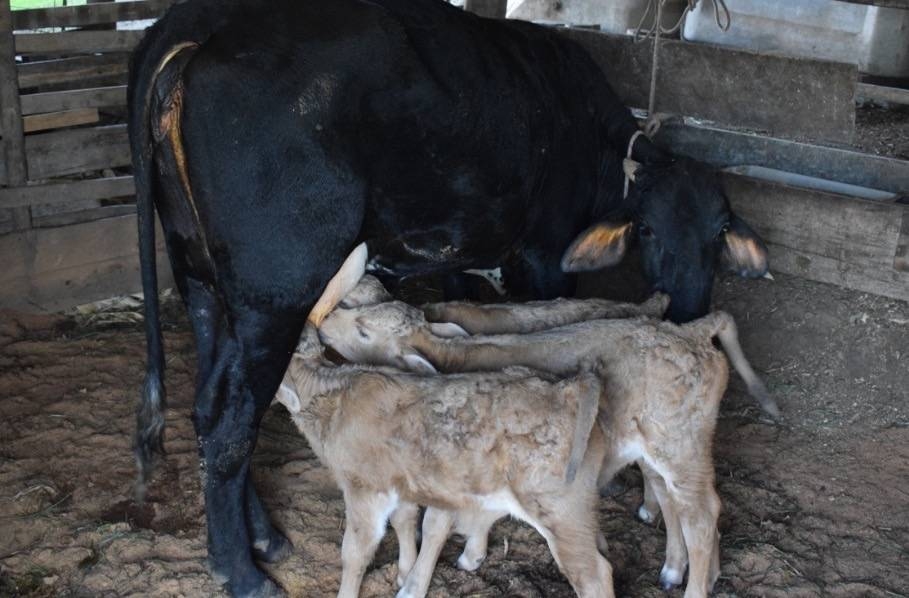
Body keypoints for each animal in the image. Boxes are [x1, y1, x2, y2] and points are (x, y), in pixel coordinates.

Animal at [127, 0, 768, 596]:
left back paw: (263, 537)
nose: (687, 306)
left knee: (206, 402)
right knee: (230, 421)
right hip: (273, 297)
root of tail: (200, 18)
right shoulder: (547, 255)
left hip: (204, 285)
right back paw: (241, 569)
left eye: (720, 231)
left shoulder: (461, 258)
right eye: (648, 229)